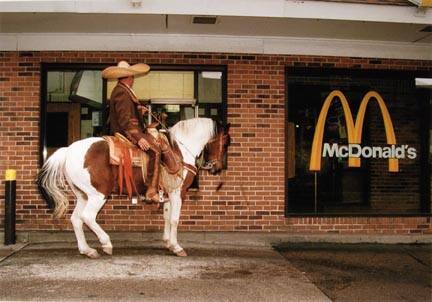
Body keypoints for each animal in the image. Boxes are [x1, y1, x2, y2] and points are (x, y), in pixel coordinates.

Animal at [38, 117, 231, 258]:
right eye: (226, 142)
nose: (216, 167)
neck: (180, 152)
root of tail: (69, 150)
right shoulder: (178, 193)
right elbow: (175, 220)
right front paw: (177, 247)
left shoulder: (169, 194)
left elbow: (167, 218)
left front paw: (168, 243)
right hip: (98, 195)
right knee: (88, 217)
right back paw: (106, 243)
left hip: (83, 195)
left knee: (76, 219)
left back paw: (87, 250)